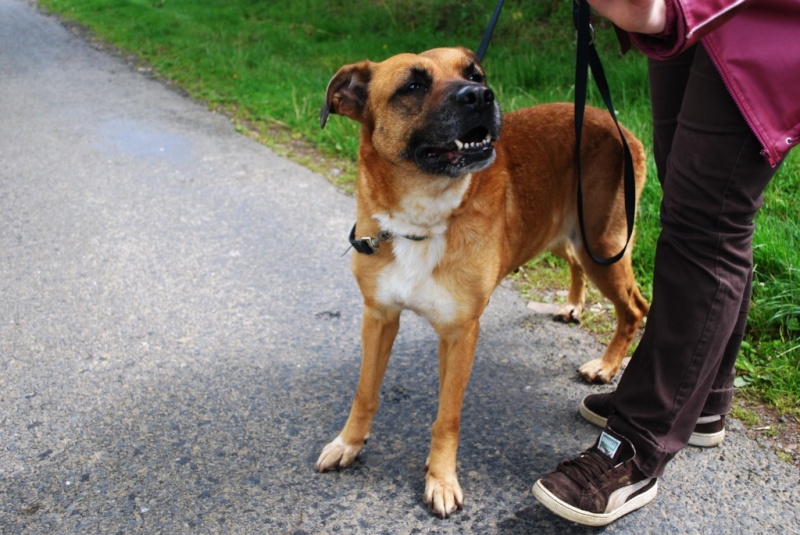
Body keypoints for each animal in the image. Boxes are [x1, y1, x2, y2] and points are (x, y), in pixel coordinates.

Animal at [316, 47, 648, 520]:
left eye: (474, 74)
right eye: (412, 85)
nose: (480, 96)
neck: (423, 218)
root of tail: (618, 126)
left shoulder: (460, 333)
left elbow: (447, 417)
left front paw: (441, 479)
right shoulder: (379, 316)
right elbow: (365, 392)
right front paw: (349, 443)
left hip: (603, 245)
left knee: (636, 307)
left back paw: (606, 365)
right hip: (565, 237)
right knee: (579, 269)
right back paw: (573, 305)